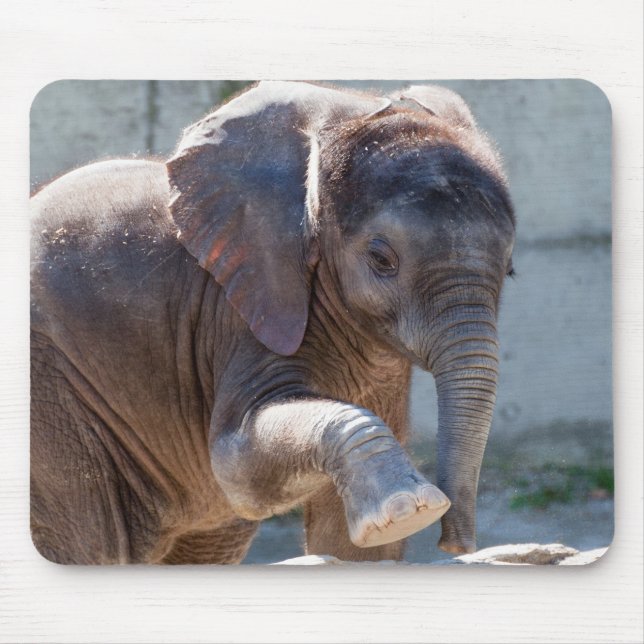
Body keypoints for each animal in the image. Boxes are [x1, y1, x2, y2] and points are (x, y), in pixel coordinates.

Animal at [30, 81, 515, 564]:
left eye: (510, 268)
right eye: (382, 260)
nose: (453, 544)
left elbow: (349, 545)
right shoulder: (241, 310)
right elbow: (236, 467)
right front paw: (409, 510)